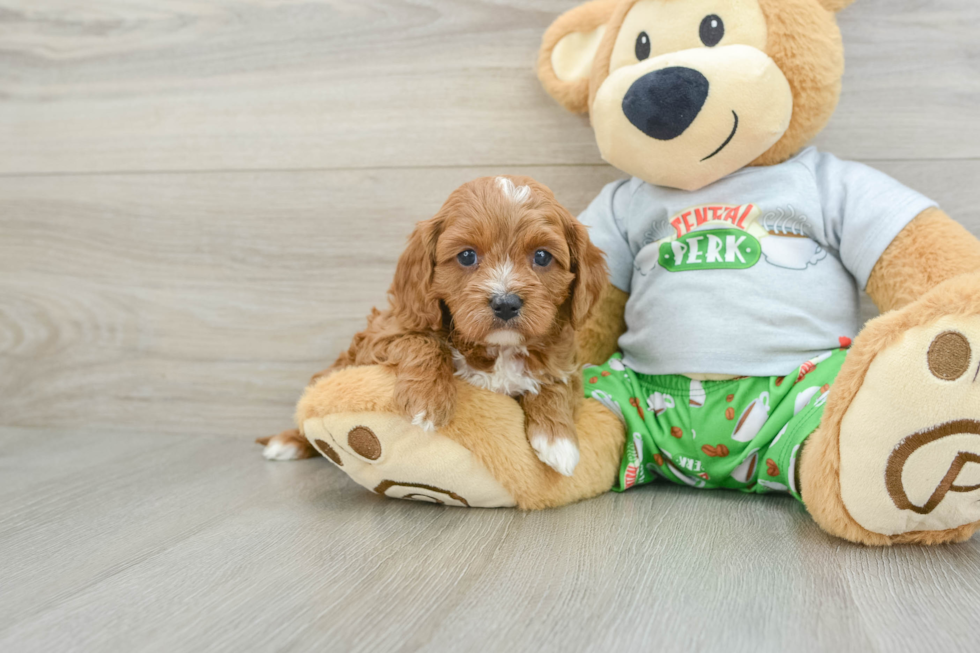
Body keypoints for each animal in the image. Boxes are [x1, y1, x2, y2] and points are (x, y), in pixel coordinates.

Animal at [264, 176, 608, 476]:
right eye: (467, 256)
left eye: (542, 257)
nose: (506, 303)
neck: (499, 347)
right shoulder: (382, 334)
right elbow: (423, 341)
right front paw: (426, 402)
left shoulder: (566, 361)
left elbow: (555, 383)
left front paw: (558, 440)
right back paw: (287, 442)